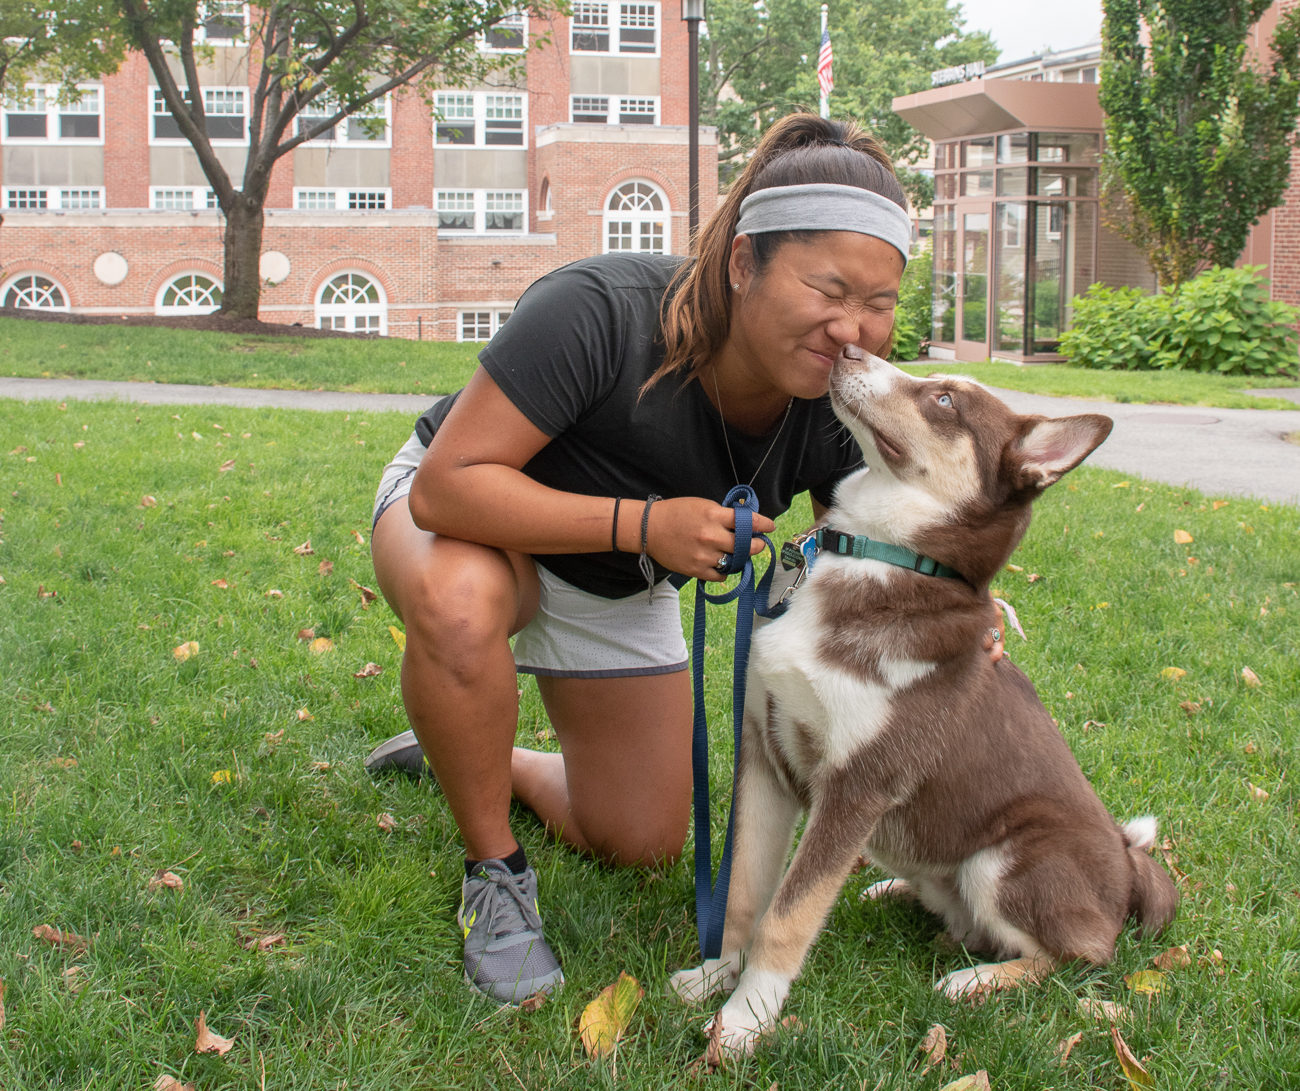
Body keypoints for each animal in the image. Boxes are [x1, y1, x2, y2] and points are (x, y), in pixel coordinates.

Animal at [670, 345, 1180, 1055]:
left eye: (944, 400)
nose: (849, 347)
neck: (879, 555)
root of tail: (1131, 869)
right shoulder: (764, 755)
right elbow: (745, 890)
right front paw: (716, 976)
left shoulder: (858, 784)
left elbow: (790, 913)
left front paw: (746, 1020)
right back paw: (890, 889)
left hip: (1006, 861)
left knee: (1076, 957)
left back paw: (976, 980)